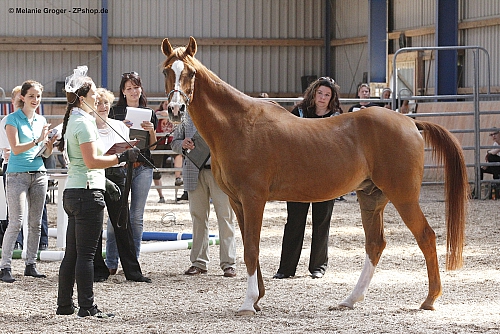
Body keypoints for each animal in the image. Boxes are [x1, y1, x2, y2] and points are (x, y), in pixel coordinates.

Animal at [161, 36, 468, 316]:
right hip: (371, 197)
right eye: (166, 71)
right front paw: (258, 298)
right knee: (375, 244)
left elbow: (251, 249)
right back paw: (350, 300)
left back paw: (429, 300)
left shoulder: (253, 199)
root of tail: (411, 123)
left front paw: (248, 304)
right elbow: (250, 247)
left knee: (426, 236)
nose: (175, 110)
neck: (239, 125)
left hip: (403, 196)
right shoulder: (238, 202)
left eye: (191, 73)